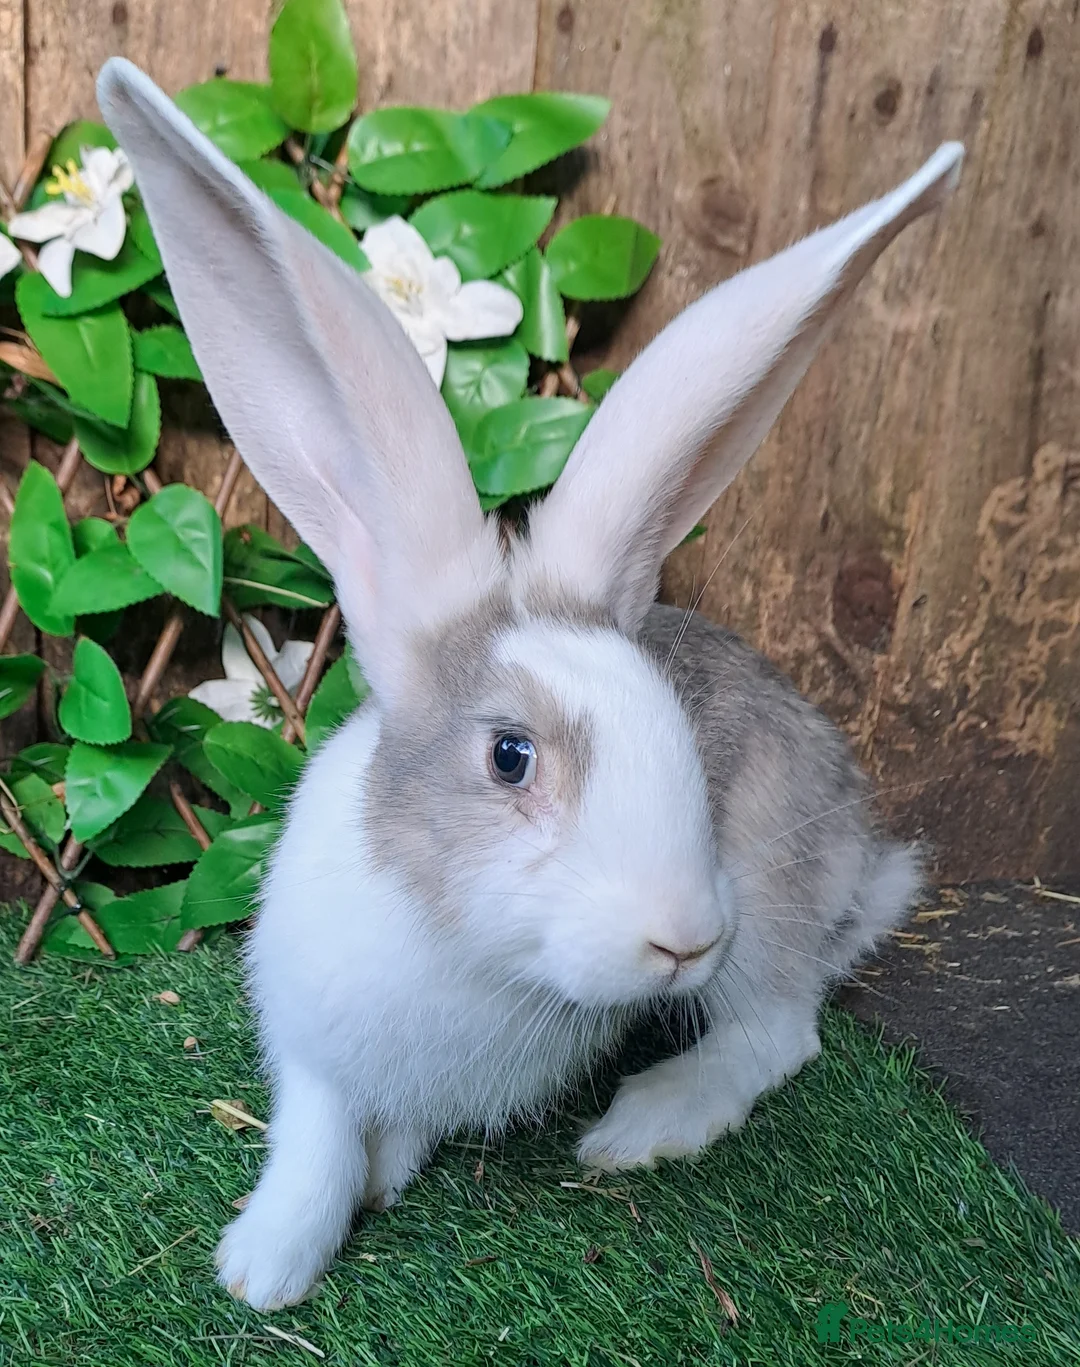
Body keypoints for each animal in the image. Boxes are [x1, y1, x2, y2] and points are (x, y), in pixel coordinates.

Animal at [98, 57, 963, 1311]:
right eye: (510, 755)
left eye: (680, 734)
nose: (681, 936)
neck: (467, 949)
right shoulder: (310, 1047)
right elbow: (318, 1138)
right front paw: (271, 1261)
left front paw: (276, 1255)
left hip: (771, 900)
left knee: (779, 1028)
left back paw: (647, 1120)